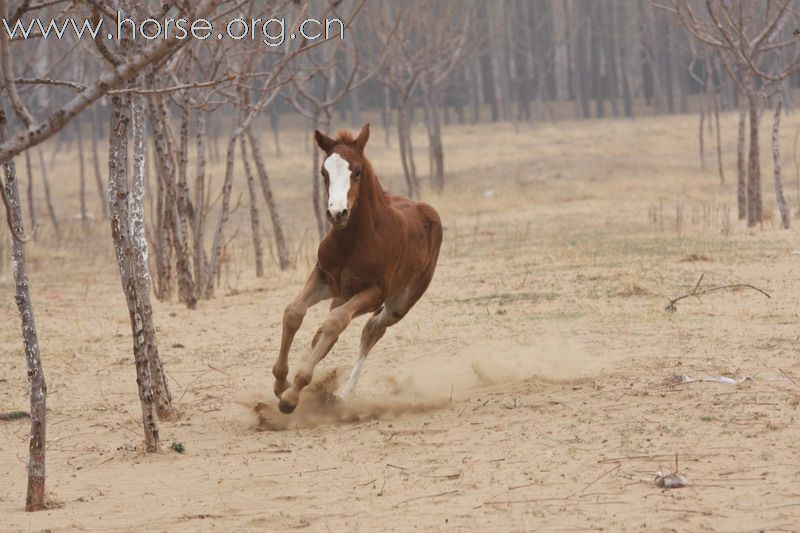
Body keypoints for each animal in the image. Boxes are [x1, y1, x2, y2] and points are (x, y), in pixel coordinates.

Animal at [272, 122, 440, 414]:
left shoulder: (375, 292)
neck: (353, 240)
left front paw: (292, 394)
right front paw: (281, 383)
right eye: (324, 172)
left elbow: (336, 322)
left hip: (399, 303)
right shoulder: (323, 276)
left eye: (358, 171)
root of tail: (425, 209)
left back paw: (342, 394)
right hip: (341, 294)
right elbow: (294, 312)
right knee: (325, 332)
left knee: (371, 330)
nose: (337, 213)